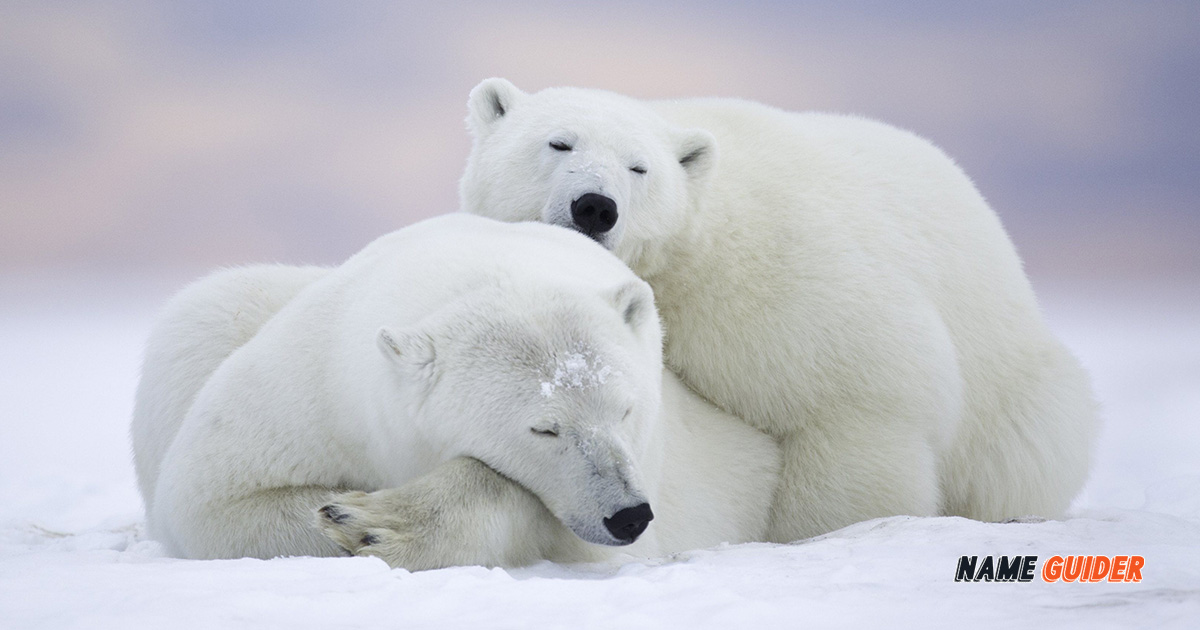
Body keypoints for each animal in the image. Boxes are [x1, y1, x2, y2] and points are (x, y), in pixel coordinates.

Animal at [131, 214, 780, 569]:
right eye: (544, 427)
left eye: (626, 409)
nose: (629, 515)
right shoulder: (315, 386)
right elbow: (211, 499)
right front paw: (346, 514)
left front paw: (375, 522)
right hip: (213, 319)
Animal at [459, 78, 1099, 542]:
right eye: (558, 142)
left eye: (640, 167)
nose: (595, 206)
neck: (692, 252)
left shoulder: (784, 284)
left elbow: (857, 402)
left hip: (1014, 390)